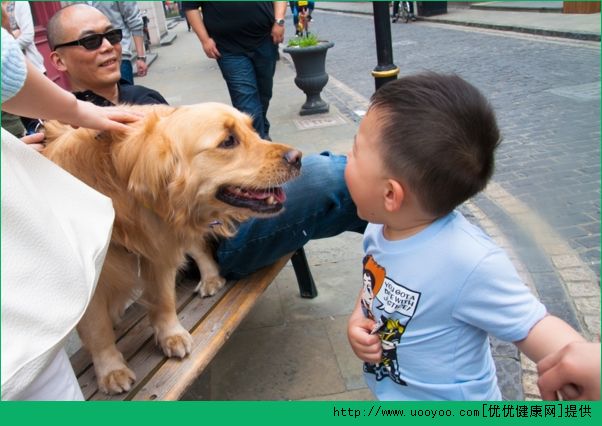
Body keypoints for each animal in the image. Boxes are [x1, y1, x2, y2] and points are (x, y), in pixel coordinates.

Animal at [43, 102, 300, 392]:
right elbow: (98, 330)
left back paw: (210, 279)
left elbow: (164, 299)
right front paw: (111, 370)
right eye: (228, 141)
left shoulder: (161, 250)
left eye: (252, 130)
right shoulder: (90, 282)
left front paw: (171, 335)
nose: (298, 157)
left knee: (198, 248)